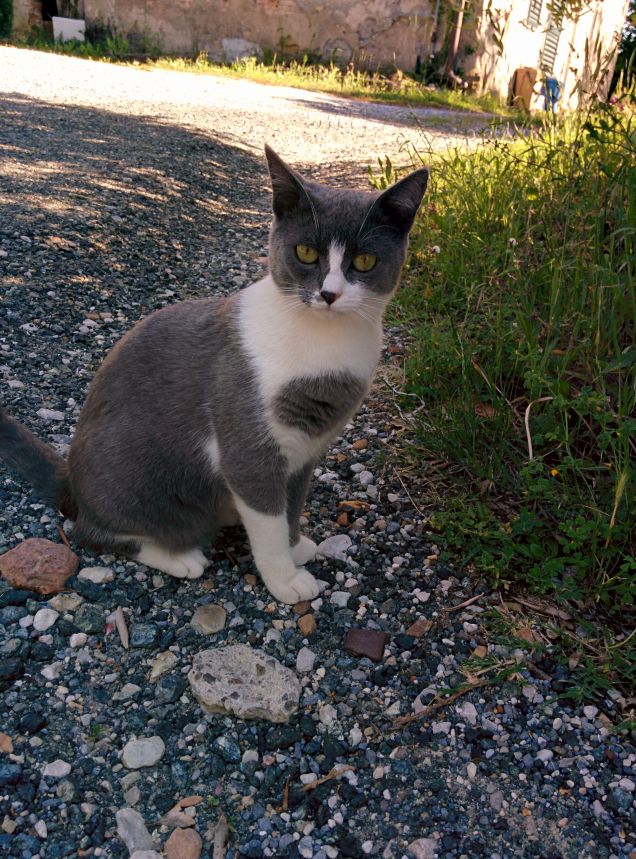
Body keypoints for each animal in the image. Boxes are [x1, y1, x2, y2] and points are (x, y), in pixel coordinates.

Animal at [1, 148, 428, 604]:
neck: (325, 346)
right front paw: (285, 579)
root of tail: (72, 484)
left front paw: (296, 545)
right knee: (94, 533)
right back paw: (179, 556)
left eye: (364, 261)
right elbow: (269, 521)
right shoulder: (248, 446)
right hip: (130, 482)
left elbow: (292, 506)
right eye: (306, 253)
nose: (329, 294)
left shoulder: (306, 453)